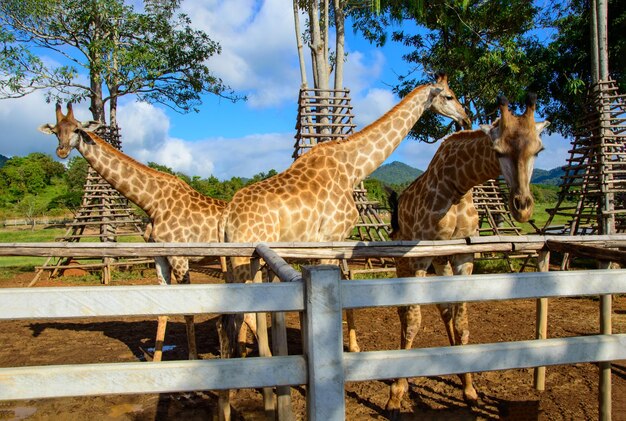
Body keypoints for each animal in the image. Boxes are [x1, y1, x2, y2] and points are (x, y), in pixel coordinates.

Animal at [38, 102, 227, 360]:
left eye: (77, 129)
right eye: (57, 131)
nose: (62, 151)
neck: (152, 202)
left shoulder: (180, 257)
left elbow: (186, 308)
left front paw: (192, 358)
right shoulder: (160, 257)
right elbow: (164, 307)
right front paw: (156, 361)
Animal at [217, 74, 470, 418]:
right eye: (449, 96)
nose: (466, 118)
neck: (353, 167)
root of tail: (228, 217)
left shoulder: (329, 243)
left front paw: (352, 347)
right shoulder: (330, 239)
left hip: (239, 260)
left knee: (232, 320)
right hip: (245, 260)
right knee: (234, 320)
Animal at [388, 93, 548, 416]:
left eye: (539, 149)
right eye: (497, 151)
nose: (523, 207)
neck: (457, 187)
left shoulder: (463, 255)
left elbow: (462, 323)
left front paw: (470, 389)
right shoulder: (420, 256)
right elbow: (413, 320)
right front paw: (397, 394)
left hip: (442, 260)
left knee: (445, 310)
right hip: (404, 260)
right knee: (404, 311)